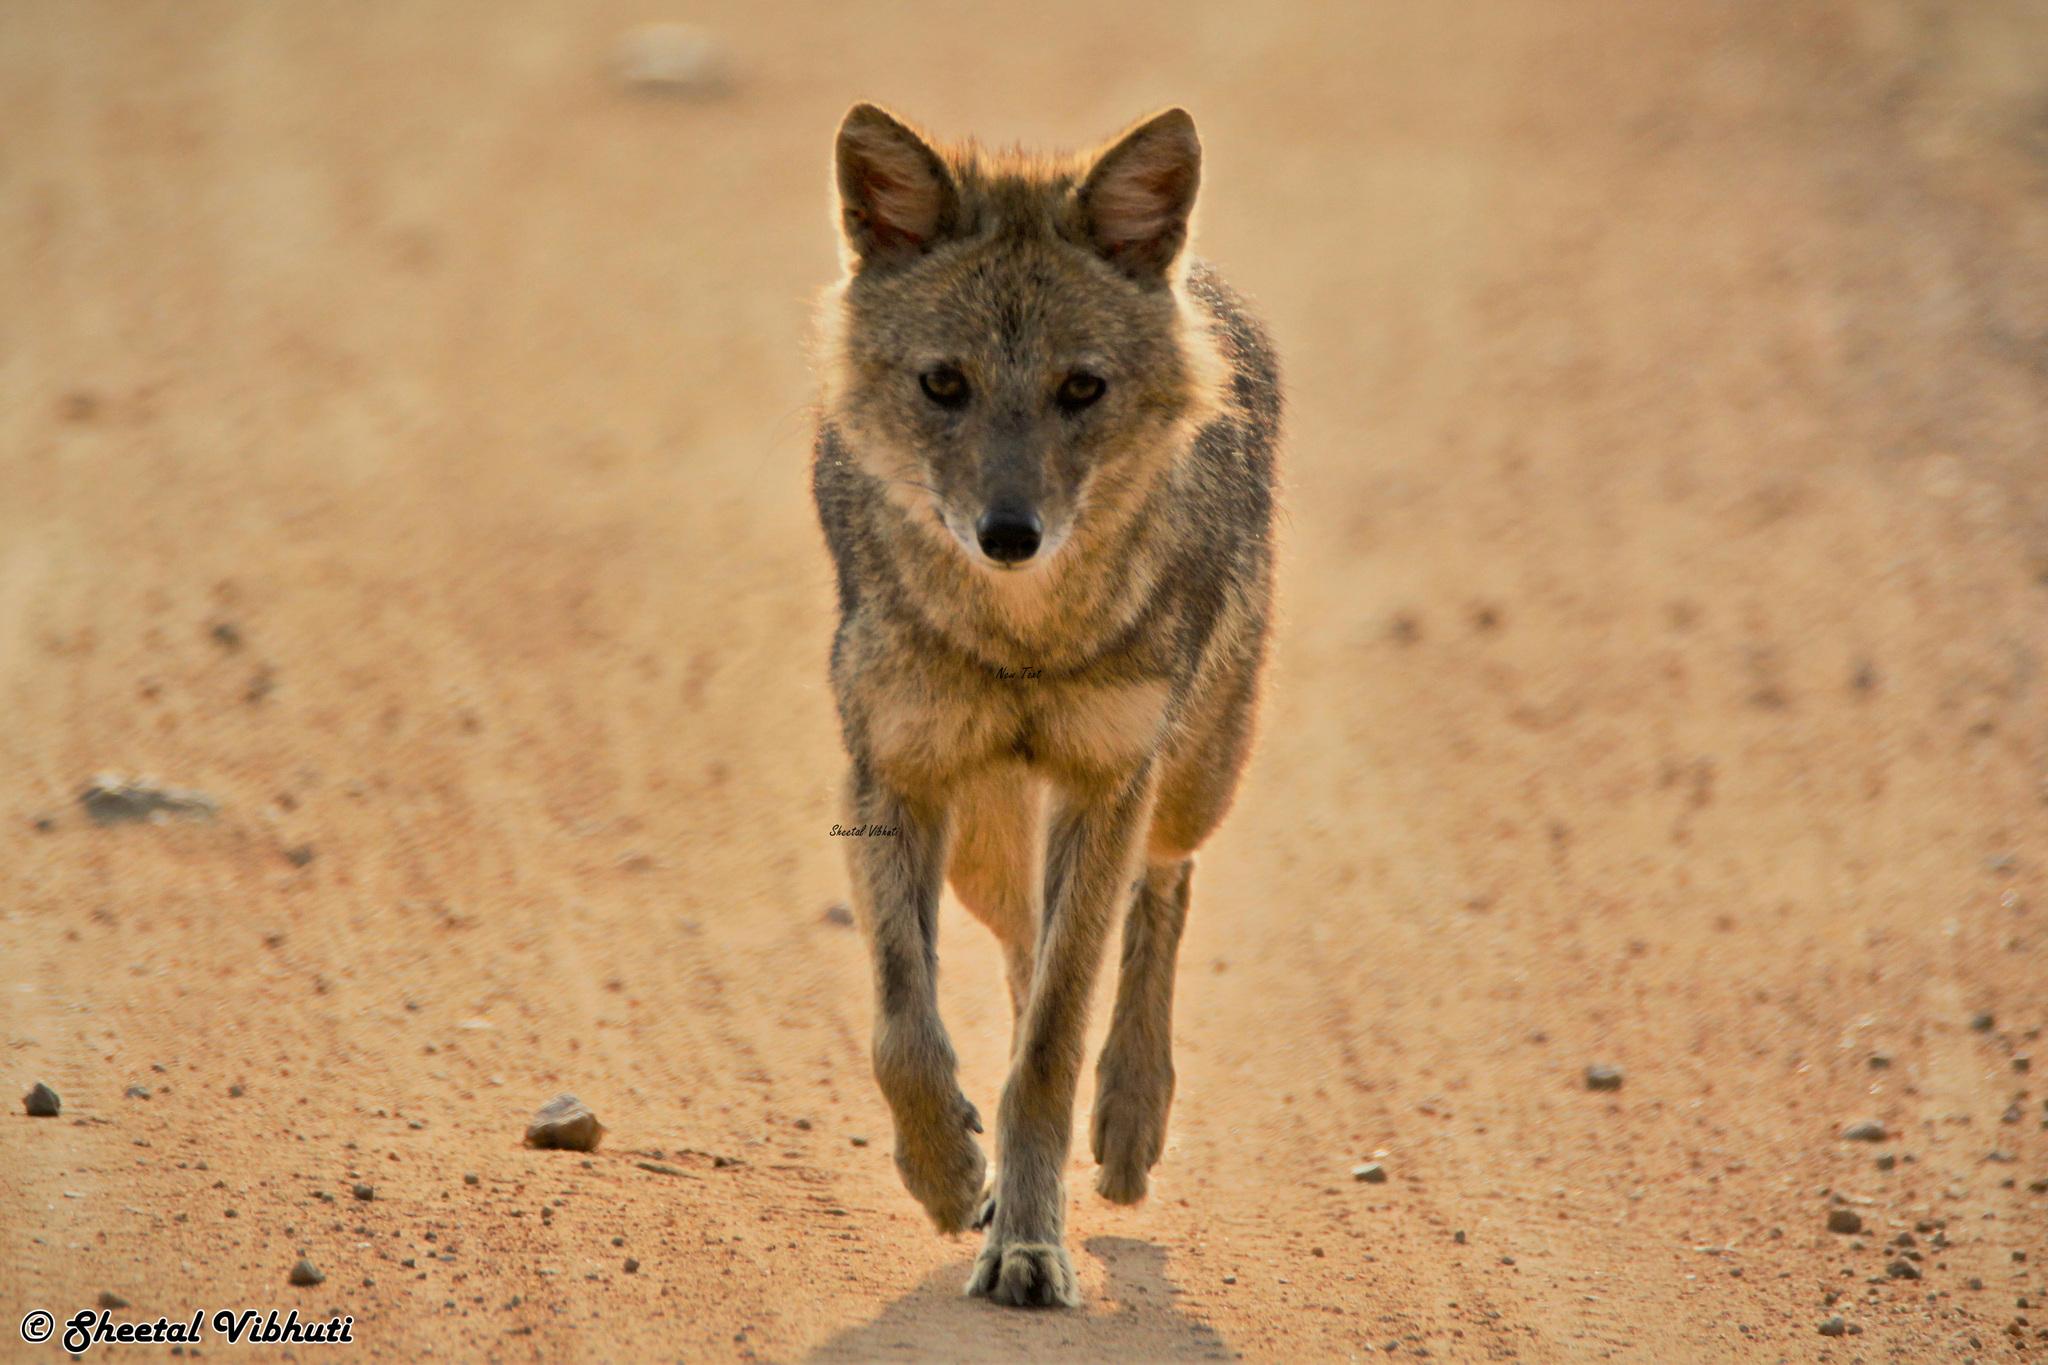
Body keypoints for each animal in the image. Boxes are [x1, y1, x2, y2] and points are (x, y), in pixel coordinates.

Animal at [810, 102, 1279, 1308]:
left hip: (1188, 779)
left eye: (1081, 388)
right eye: (944, 384)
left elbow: (1053, 1048)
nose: (1008, 534)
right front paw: (946, 1177)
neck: (1020, 640)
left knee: (1159, 894)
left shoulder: (1110, 781)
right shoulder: (890, 778)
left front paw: (1029, 1242)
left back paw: (1128, 1124)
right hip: (987, 845)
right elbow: (905, 1030)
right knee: (1026, 952)